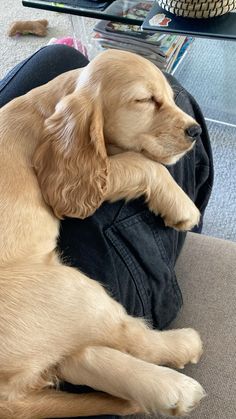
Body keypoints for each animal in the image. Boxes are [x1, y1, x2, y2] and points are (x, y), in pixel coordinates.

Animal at [0, 50, 205, 419]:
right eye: (145, 100)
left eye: (169, 97)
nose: (195, 129)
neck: (45, 109)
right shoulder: (82, 182)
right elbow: (143, 163)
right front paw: (183, 206)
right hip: (67, 289)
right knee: (130, 337)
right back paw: (183, 351)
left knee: (78, 357)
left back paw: (168, 391)